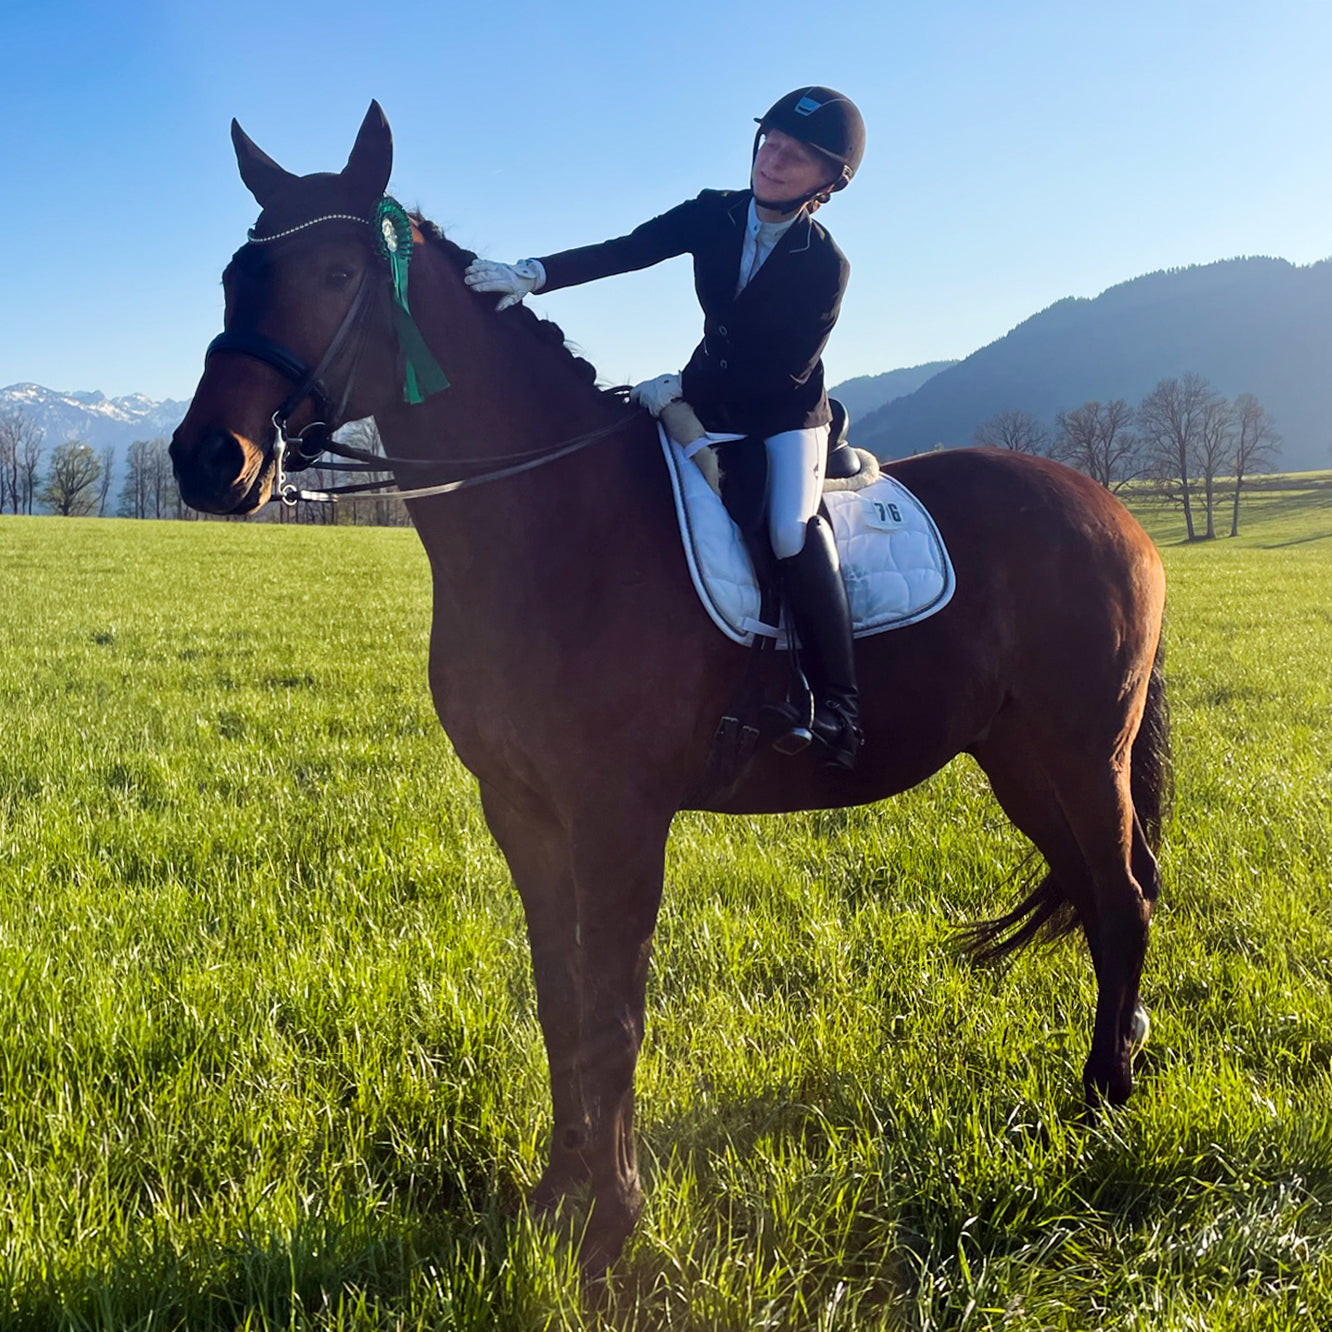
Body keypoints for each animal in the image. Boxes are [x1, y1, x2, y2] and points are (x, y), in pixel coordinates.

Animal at [170, 103, 1169, 1275]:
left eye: (335, 272)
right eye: (236, 274)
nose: (207, 461)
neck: (550, 524)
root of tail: (1111, 507)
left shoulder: (620, 814)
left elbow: (615, 1010)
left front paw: (614, 1220)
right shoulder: (521, 808)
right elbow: (561, 1000)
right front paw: (557, 1195)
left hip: (1083, 749)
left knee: (1124, 899)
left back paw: (1101, 1102)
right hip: (1017, 758)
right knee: (1101, 896)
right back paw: (1115, 1067)